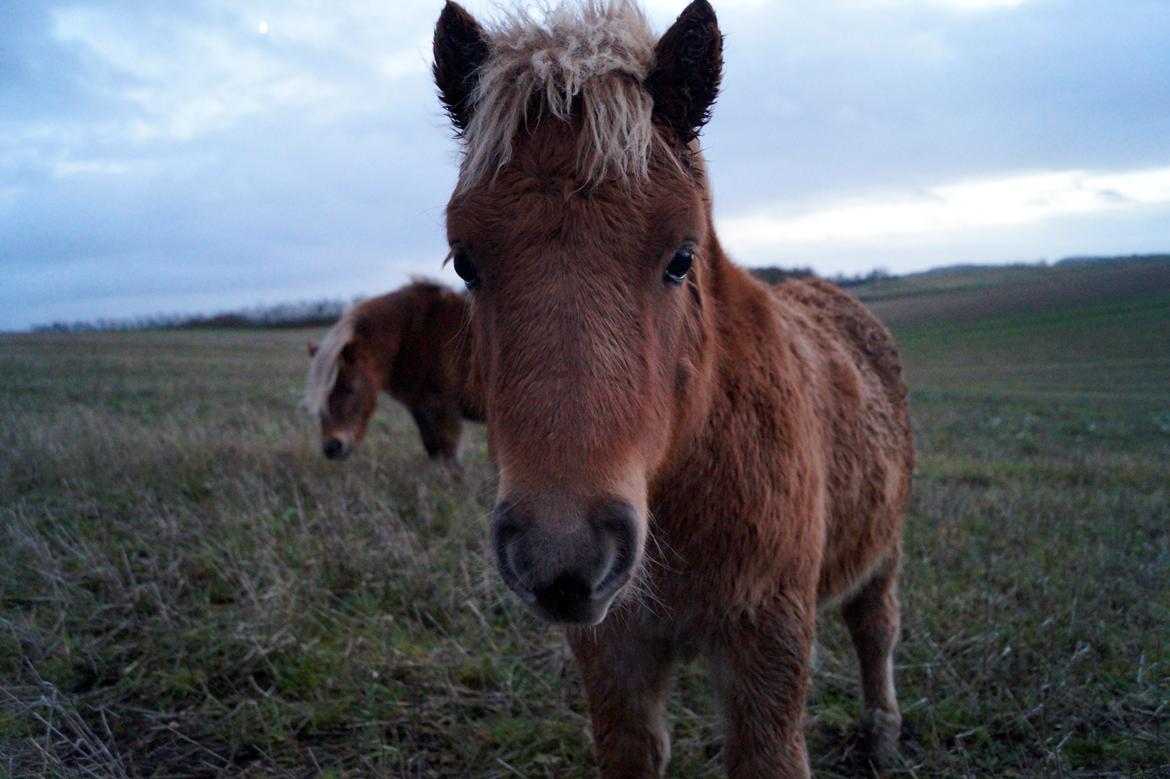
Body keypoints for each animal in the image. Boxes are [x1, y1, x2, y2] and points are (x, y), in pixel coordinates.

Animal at [435, 0, 917, 771]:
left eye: (681, 257)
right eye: (465, 262)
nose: (561, 554)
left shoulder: (768, 649)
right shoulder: (616, 655)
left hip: (882, 548)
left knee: (876, 625)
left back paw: (881, 731)